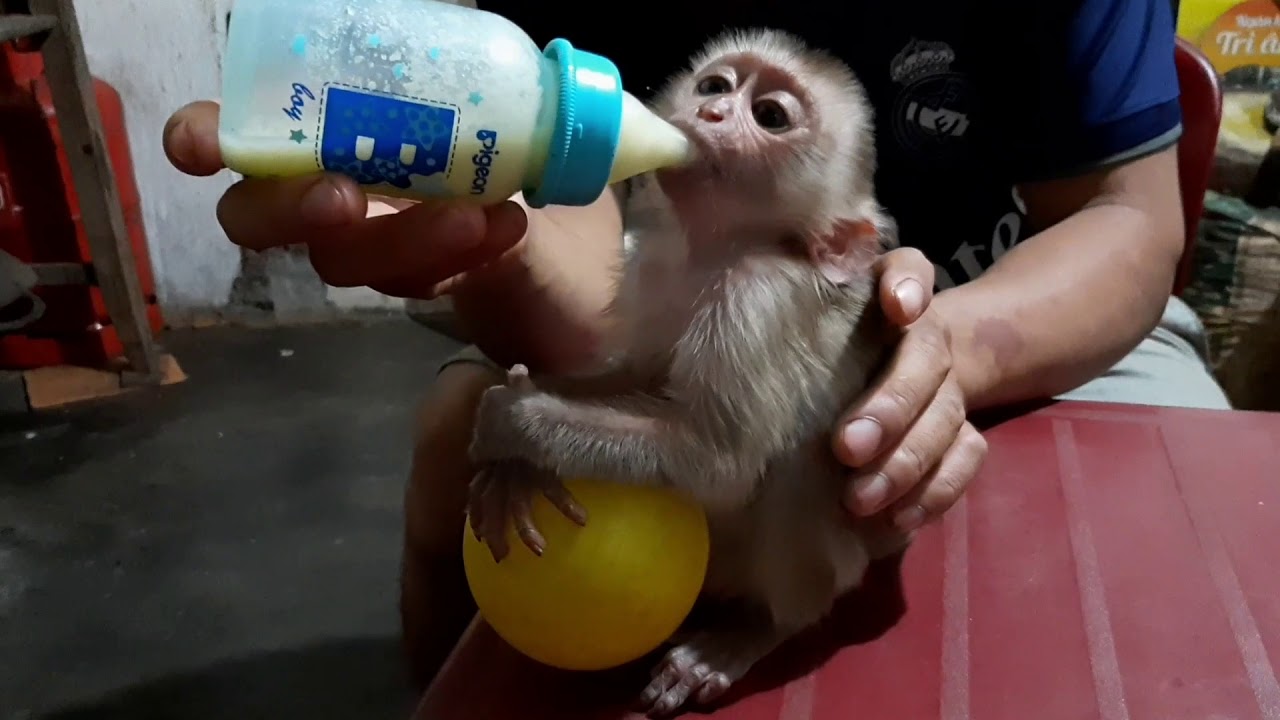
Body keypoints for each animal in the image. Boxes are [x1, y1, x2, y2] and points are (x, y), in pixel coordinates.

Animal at [464, 28, 908, 717]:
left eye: (770, 117)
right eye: (716, 85)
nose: (714, 113)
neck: (713, 251)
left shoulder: (759, 297)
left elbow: (717, 460)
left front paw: (517, 425)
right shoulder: (653, 258)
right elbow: (639, 378)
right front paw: (520, 459)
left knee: (791, 469)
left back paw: (759, 628)